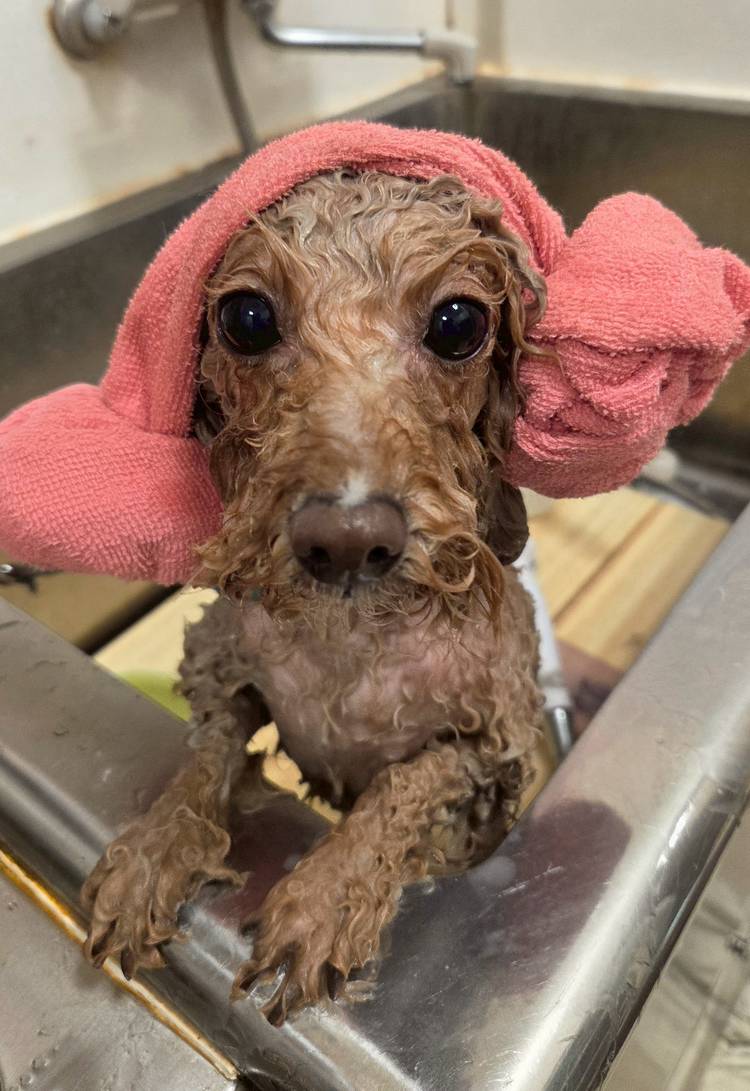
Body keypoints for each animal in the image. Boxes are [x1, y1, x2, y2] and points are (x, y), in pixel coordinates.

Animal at [82, 170, 546, 1025]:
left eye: (458, 323)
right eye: (247, 318)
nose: (350, 538)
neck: (353, 638)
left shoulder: (494, 747)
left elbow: (401, 784)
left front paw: (325, 898)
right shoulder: (218, 666)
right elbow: (208, 754)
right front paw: (154, 852)